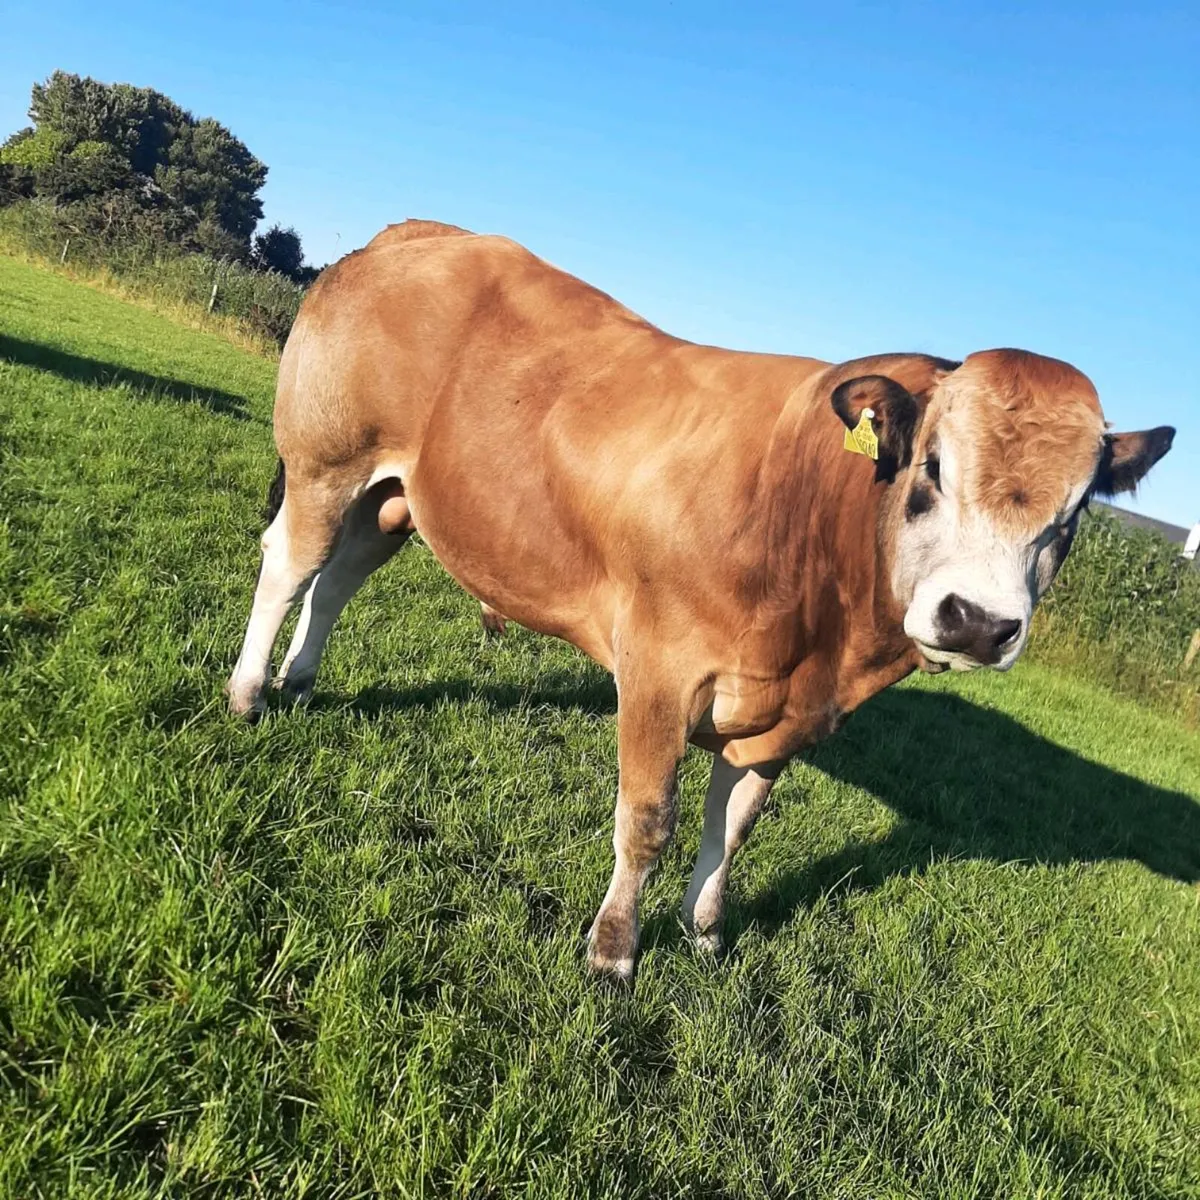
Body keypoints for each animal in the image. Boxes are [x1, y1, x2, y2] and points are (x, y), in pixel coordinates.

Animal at [226, 220, 1175, 982]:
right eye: (932, 468)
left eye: (1075, 513)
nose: (977, 622)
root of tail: (419, 234)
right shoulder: (659, 668)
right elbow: (649, 820)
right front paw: (614, 950)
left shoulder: (788, 714)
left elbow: (738, 823)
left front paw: (706, 930)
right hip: (324, 460)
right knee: (290, 565)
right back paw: (247, 694)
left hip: (394, 499)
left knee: (338, 578)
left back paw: (300, 682)